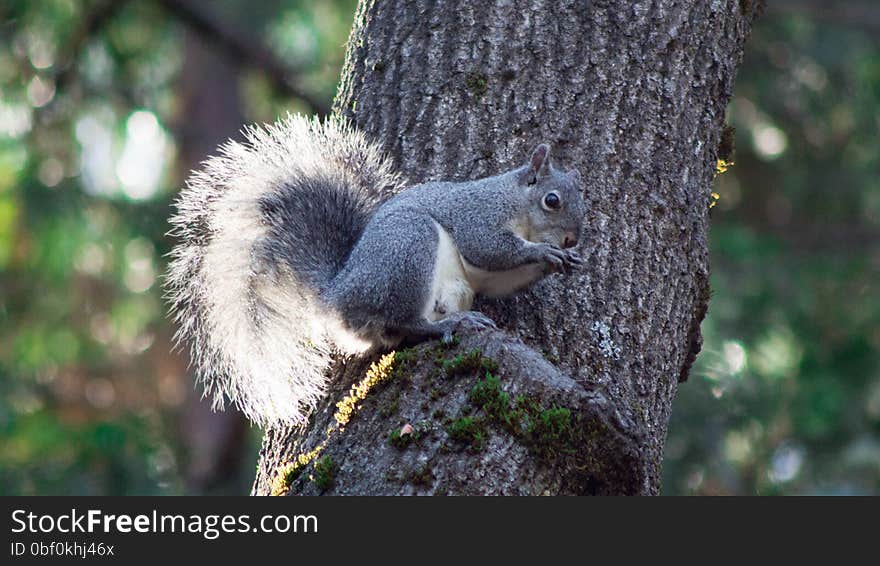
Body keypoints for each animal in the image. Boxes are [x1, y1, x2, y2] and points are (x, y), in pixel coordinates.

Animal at [168, 114, 588, 426]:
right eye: (552, 201)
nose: (571, 239)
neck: (516, 202)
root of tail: (336, 295)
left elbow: (499, 280)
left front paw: (561, 261)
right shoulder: (478, 216)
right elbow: (491, 248)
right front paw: (543, 251)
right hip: (409, 249)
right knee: (407, 323)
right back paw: (451, 323)